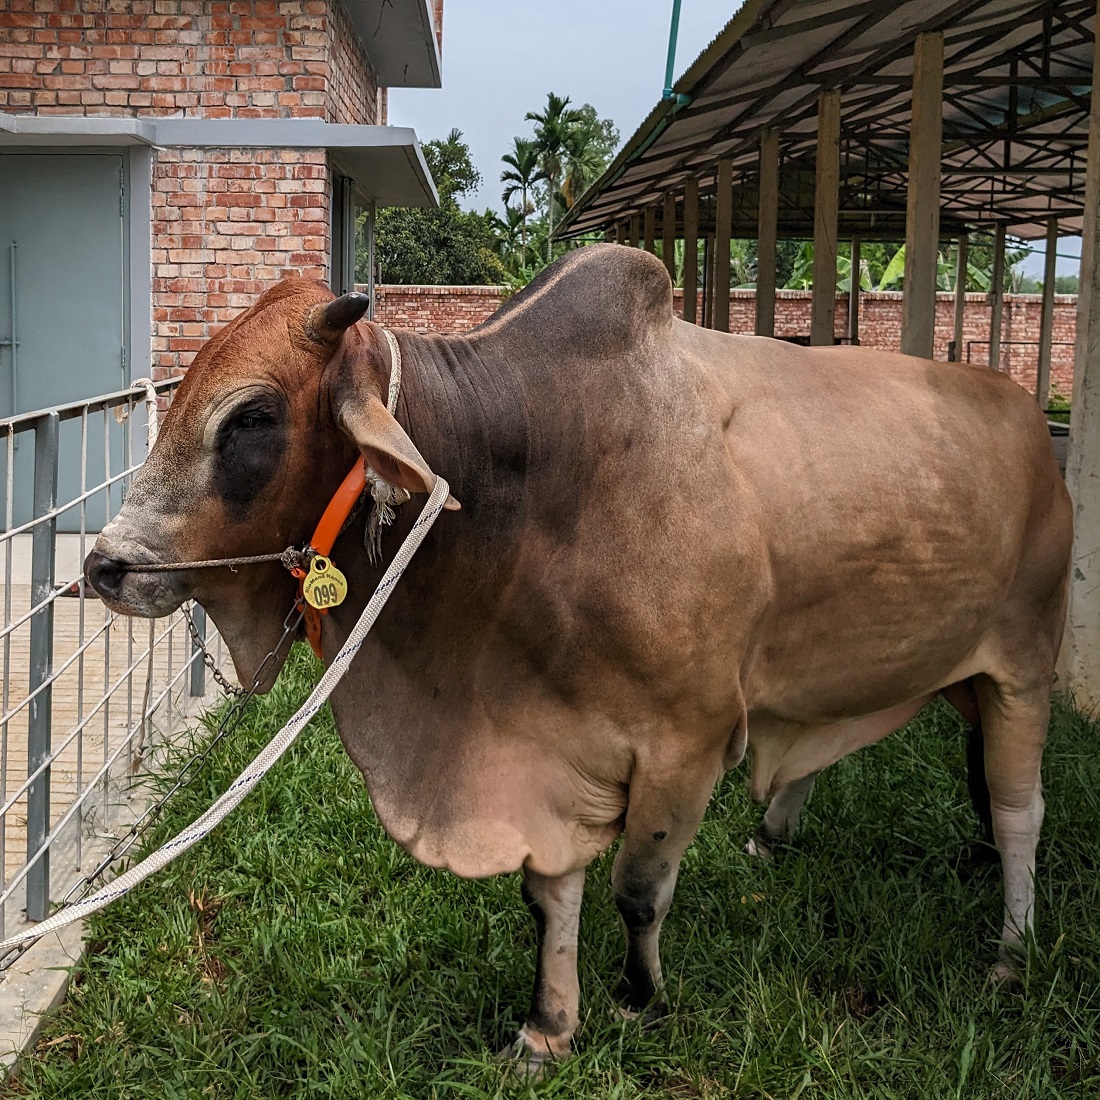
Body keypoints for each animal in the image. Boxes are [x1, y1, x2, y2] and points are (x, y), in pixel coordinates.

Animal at [88, 245, 1073, 1069]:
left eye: (251, 416)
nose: (106, 566)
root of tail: (1027, 413)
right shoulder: (543, 742)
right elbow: (550, 897)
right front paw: (548, 1028)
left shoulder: (686, 744)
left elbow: (639, 889)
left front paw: (640, 996)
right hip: (945, 673)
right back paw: (791, 836)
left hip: (1024, 662)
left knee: (1023, 808)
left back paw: (1012, 952)